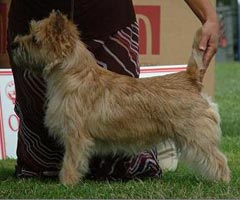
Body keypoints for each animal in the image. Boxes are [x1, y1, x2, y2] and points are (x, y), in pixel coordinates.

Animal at [11, 10, 231, 185]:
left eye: (35, 39)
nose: (13, 44)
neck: (74, 75)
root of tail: (190, 78)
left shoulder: (75, 134)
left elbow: (71, 161)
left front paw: (66, 183)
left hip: (196, 136)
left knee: (218, 159)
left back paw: (222, 182)